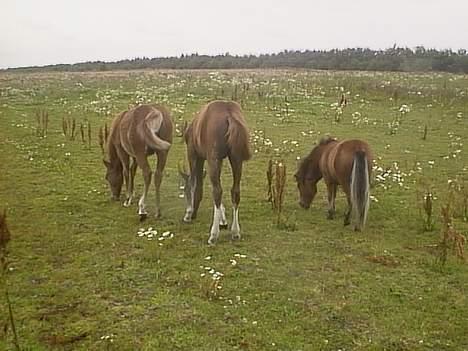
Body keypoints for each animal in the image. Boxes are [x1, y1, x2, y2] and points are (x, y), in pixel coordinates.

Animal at [179, 100, 252, 246]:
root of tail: (229, 114)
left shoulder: (194, 154)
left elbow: (194, 183)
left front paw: (189, 213)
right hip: (236, 159)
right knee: (235, 191)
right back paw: (235, 232)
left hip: (213, 158)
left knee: (217, 191)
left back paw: (213, 235)